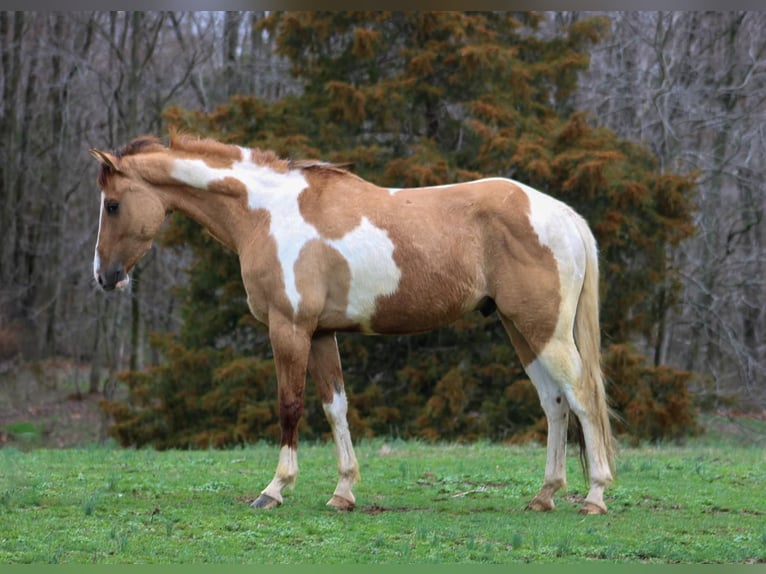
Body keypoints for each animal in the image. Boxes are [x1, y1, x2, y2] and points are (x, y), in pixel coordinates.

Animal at [90, 134, 616, 516]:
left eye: (112, 204)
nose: (104, 276)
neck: (267, 214)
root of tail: (563, 215)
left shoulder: (289, 329)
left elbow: (290, 406)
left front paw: (275, 489)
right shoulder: (322, 334)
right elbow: (335, 408)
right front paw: (343, 492)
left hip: (544, 331)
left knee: (582, 396)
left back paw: (594, 496)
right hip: (521, 331)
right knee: (554, 404)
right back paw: (545, 495)